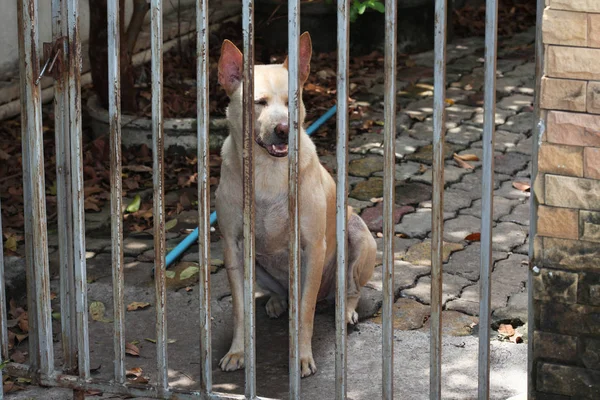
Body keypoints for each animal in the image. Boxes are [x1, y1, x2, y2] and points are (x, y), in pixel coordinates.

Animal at [216, 32, 376, 378]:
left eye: (292, 101)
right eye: (259, 102)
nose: (283, 129)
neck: (268, 172)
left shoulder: (312, 247)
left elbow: (305, 312)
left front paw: (301, 357)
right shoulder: (232, 246)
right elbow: (239, 308)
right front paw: (238, 351)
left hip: (359, 239)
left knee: (349, 290)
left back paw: (344, 311)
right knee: (280, 292)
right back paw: (277, 301)